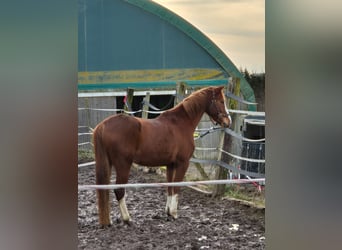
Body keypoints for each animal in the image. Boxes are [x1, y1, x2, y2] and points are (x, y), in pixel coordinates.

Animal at [93, 86, 231, 227]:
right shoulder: (183, 163)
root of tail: (103, 125)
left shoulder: (171, 164)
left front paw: (168, 212)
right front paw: (174, 213)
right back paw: (127, 219)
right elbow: (176, 186)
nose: (227, 122)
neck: (181, 123)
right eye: (221, 101)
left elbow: (170, 187)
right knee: (119, 191)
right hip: (123, 165)